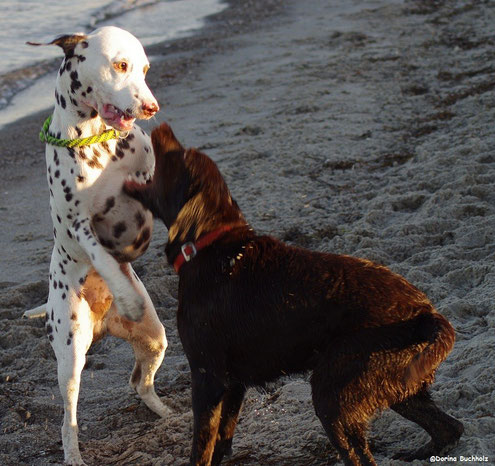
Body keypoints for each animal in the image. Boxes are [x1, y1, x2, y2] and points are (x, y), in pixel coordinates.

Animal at [26, 27, 170, 464]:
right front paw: (123, 291)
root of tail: (104, 322)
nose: (151, 107)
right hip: (71, 354)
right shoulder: (81, 227)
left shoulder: (149, 179)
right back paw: (73, 453)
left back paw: (168, 413)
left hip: (155, 339)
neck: (97, 141)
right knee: (67, 418)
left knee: (139, 383)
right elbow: (103, 257)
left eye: (145, 69)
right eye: (120, 65)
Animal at [125, 124, 464, 466]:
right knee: (450, 427)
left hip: (333, 396)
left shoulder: (208, 377)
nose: (163, 126)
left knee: (362, 456)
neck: (207, 246)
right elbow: (221, 440)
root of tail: (426, 314)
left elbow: (202, 446)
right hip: (399, 385)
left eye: (178, 157)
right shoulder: (233, 385)